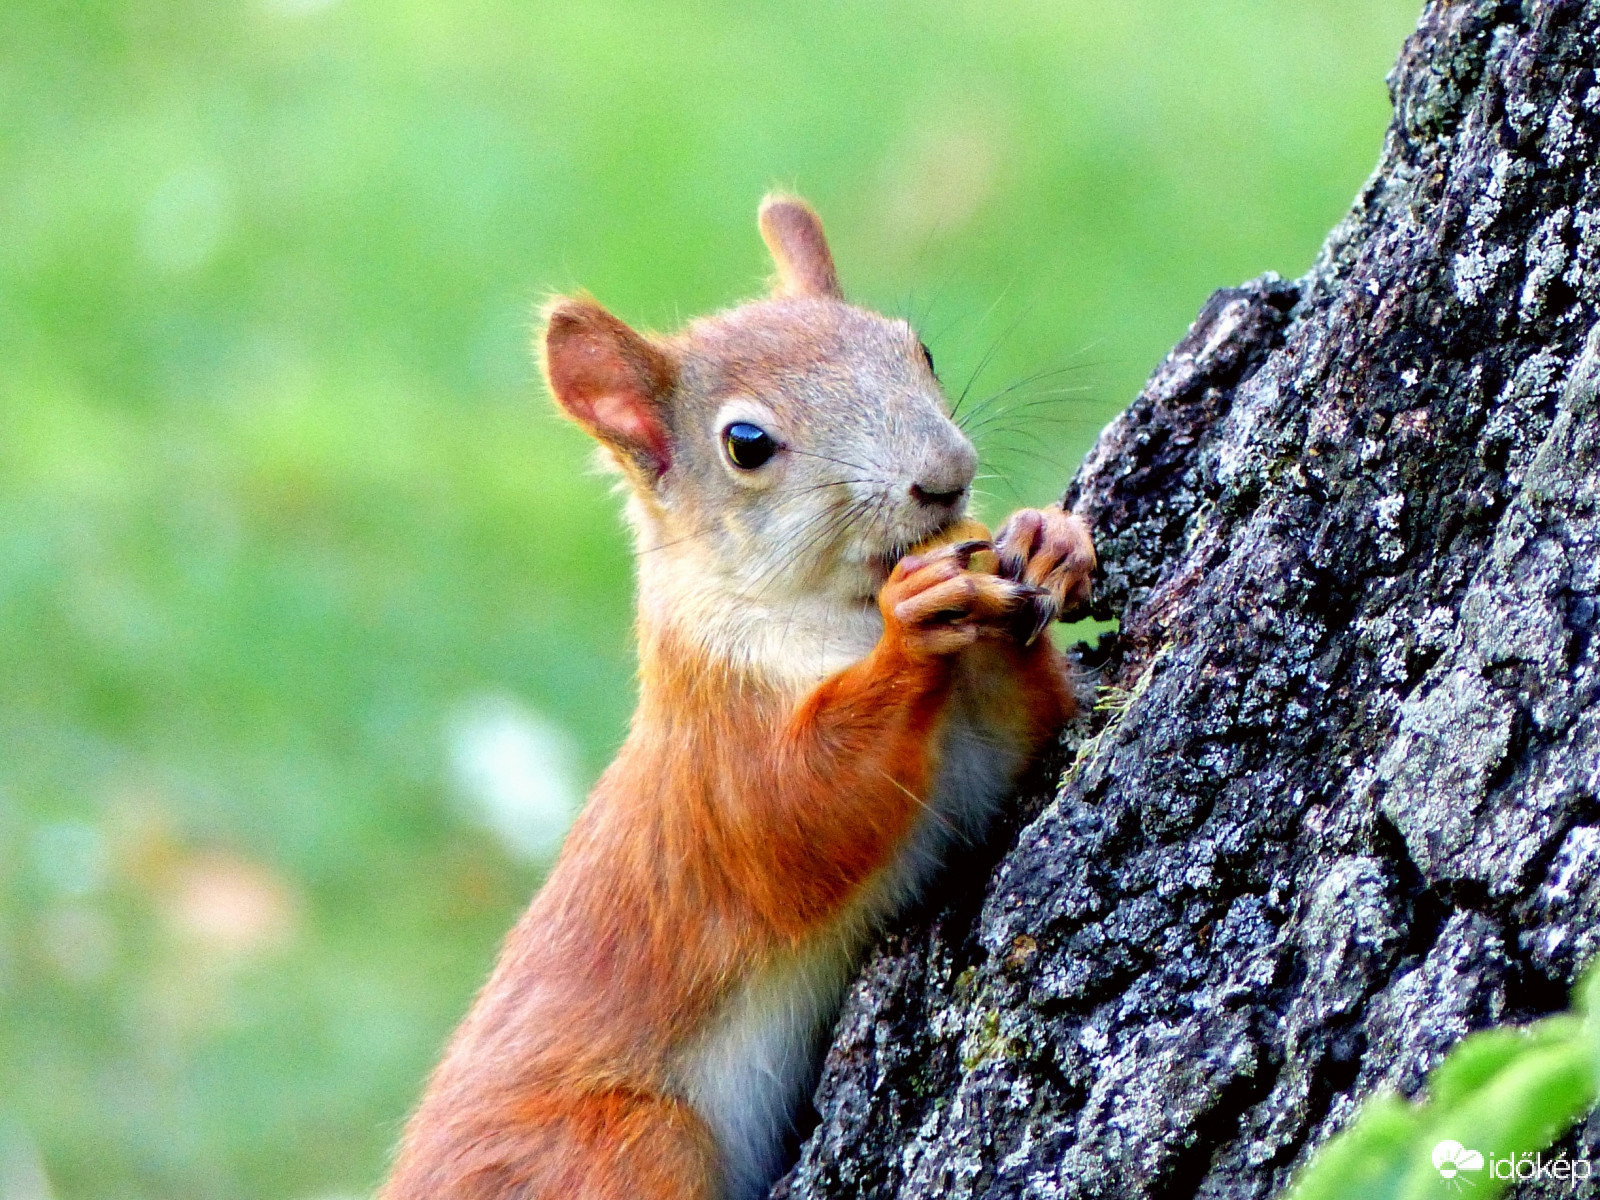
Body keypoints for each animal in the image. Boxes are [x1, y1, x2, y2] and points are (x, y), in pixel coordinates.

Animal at [380, 197, 1094, 1200]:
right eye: (746, 445)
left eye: (914, 348)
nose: (945, 477)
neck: (833, 612)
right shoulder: (716, 749)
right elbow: (800, 813)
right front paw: (912, 625)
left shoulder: (980, 747)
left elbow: (1029, 731)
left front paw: (1048, 539)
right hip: (619, 1148)